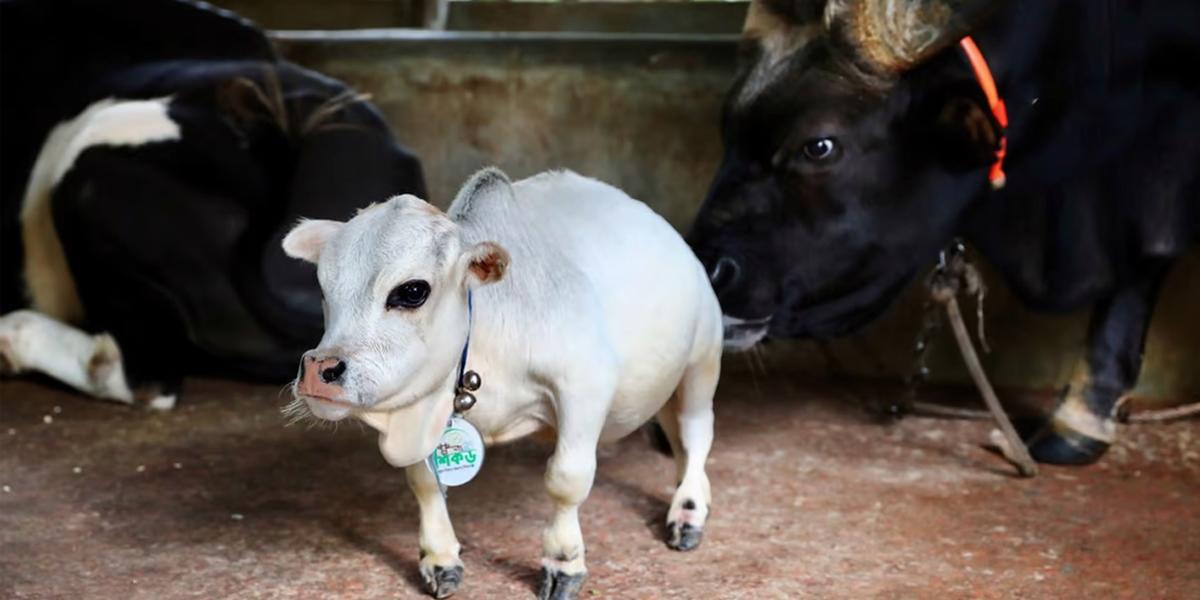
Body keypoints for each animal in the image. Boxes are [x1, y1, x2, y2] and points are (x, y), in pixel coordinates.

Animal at [283, 166, 720, 597]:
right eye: (324, 289)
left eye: (412, 291)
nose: (319, 370)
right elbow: (425, 481)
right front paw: (440, 558)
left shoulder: (584, 387)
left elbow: (567, 479)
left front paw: (563, 562)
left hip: (700, 364)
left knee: (695, 435)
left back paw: (688, 511)